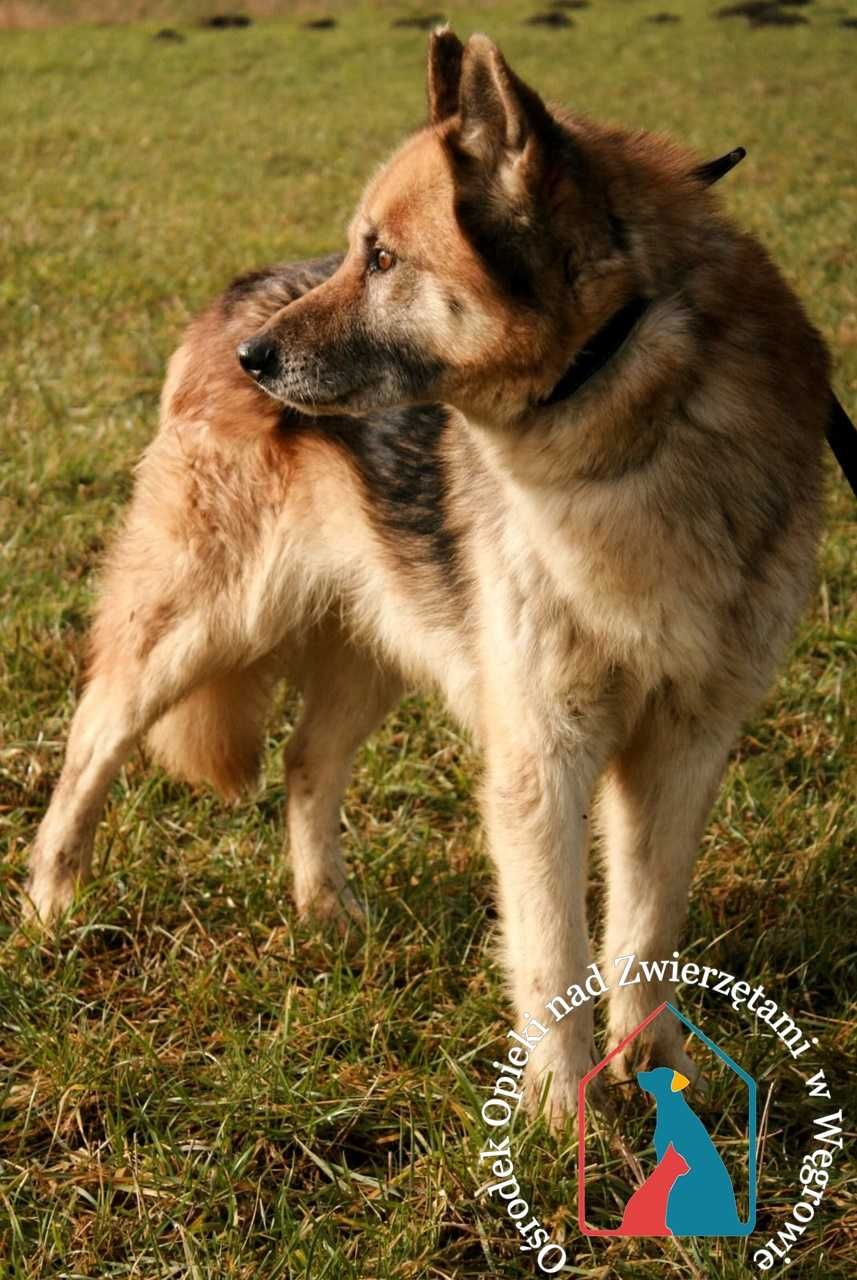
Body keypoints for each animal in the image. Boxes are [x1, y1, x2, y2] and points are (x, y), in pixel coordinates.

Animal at [26, 27, 833, 1131]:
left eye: (382, 258)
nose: (255, 360)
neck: (632, 406)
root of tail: (234, 298)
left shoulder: (682, 746)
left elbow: (642, 935)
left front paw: (659, 1079)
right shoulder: (541, 754)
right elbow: (551, 952)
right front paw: (560, 1123)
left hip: (379, 636)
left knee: (304, 763)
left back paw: (325, 913)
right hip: (199, 624)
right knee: (90, 746)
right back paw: (51, 909)